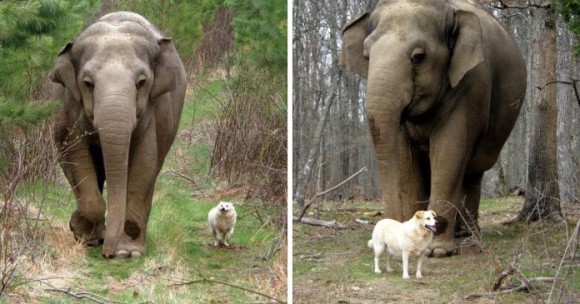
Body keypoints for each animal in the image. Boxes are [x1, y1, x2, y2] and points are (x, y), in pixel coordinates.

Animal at [50, 12, 187, 258]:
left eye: (141, 82)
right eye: (87, 83)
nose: (108, 254)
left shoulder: (154, 111)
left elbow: (144, 164)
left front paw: (128, 253)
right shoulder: (68, 105)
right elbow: (72, 151)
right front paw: (82, 234)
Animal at [340, 0, 524, 256]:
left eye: (418, 57)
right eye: (366, 56)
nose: (384, 236)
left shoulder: (471, 84)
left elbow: (448, 152)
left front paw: (438, 251)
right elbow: (406, 160)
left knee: (473, 170)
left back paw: (467, 234)